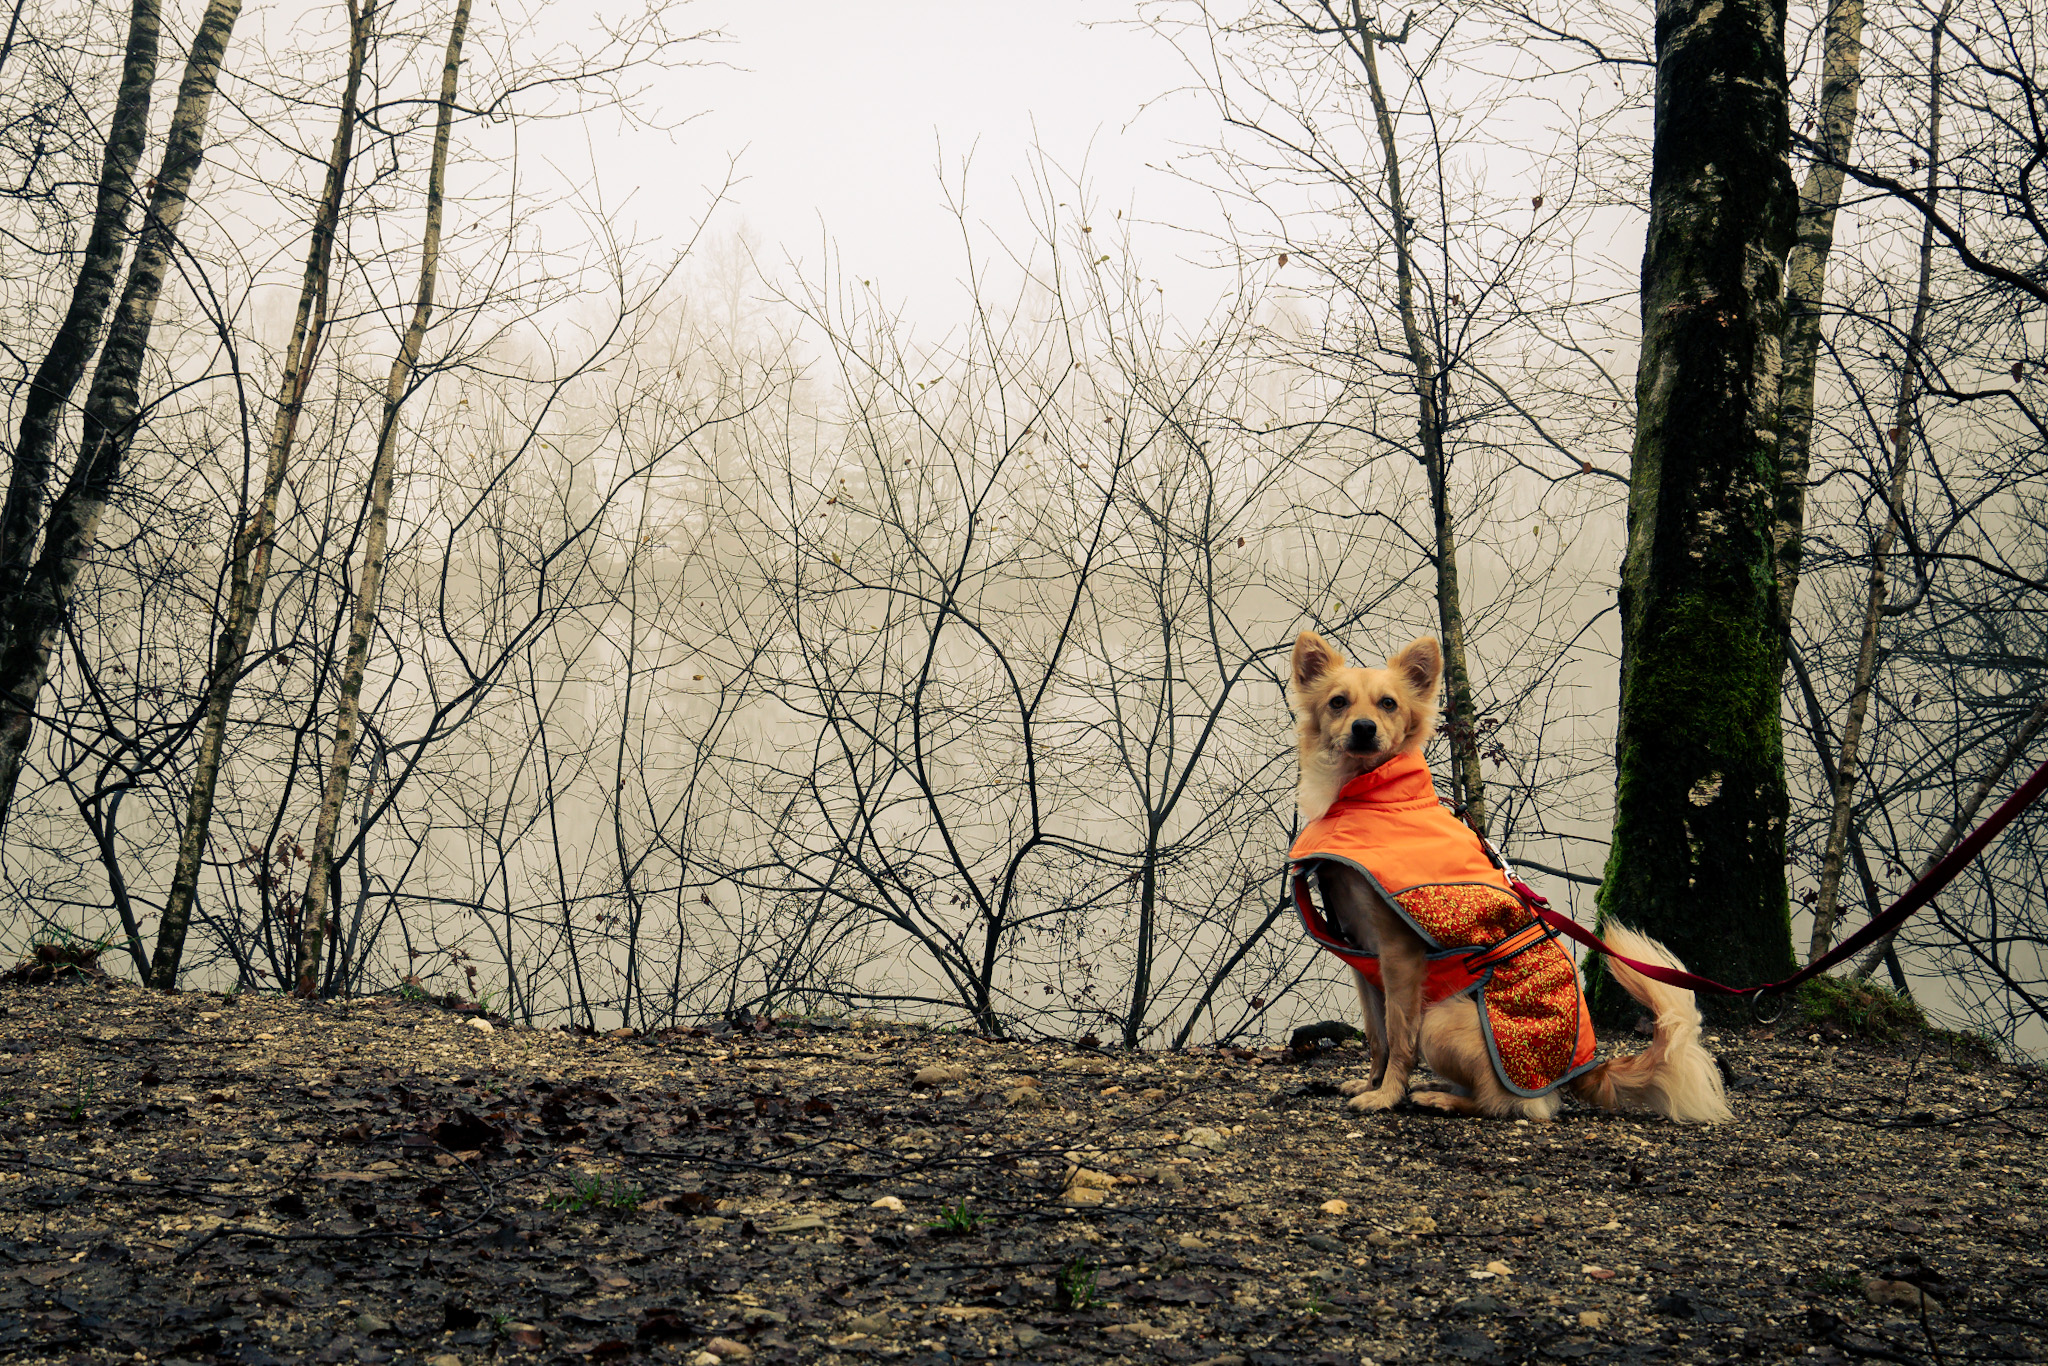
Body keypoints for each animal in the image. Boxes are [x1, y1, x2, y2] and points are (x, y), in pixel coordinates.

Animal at [1294, 630, 1728, 1122]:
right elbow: (1376, 1035)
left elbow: (1399, 1036)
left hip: (1440, 1020)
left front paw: (1386, 1095)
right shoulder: (1362, 955)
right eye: (1338, 702)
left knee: (1509, 1103)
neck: (1375, 797)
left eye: (1388, 703)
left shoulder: (1399, 955)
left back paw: (1442, 1097)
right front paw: (1371, 1083)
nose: (1364, 728)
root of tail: (1586, 1071)